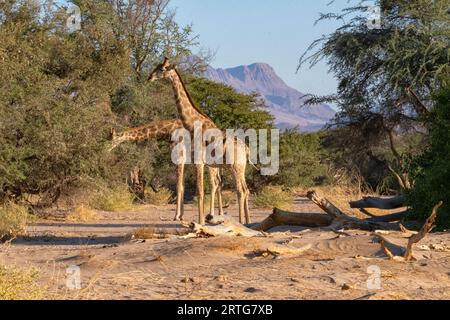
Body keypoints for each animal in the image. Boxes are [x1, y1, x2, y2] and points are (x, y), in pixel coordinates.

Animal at [149, 57, 251, 225]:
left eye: (162, 69)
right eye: (156, 66)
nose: (149, 77)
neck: (193, 124)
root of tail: (247, 149)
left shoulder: (199, 162)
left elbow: (200, 191)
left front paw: (201, 222)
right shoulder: (201, 163)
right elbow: (201, 190)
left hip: (234, 167)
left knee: (240, 191)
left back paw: (241, 222)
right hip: (241, 168)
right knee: (245, 190)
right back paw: (248, 222)